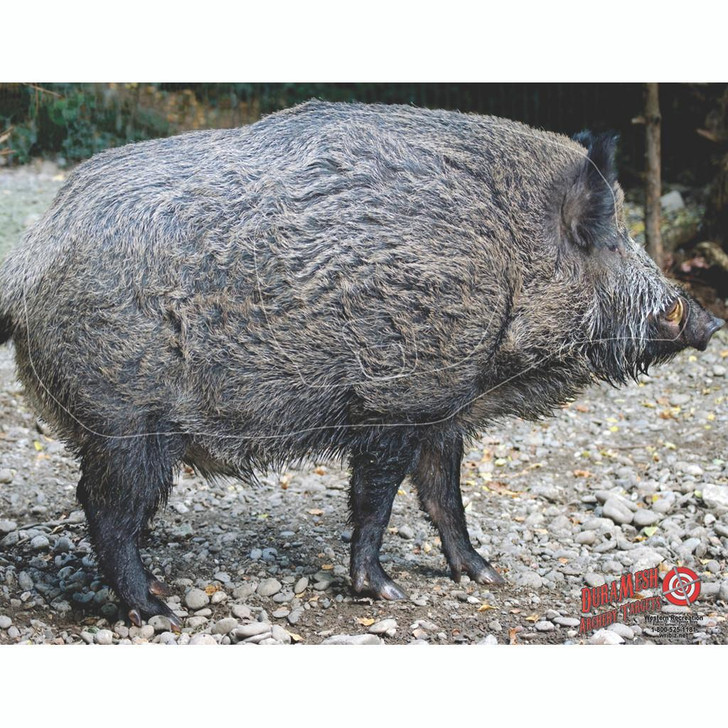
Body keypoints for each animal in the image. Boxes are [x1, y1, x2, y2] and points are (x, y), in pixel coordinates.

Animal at [0, 101, 723, 627]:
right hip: (124, 418)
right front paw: (385, 592)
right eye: (607, 236)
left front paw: (485, 574)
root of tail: (30, 260)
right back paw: (159, 612)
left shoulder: (443, 406)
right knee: (104, 510)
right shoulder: (396, 398)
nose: (708, 320)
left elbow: (444, 495)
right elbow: (376, 497)